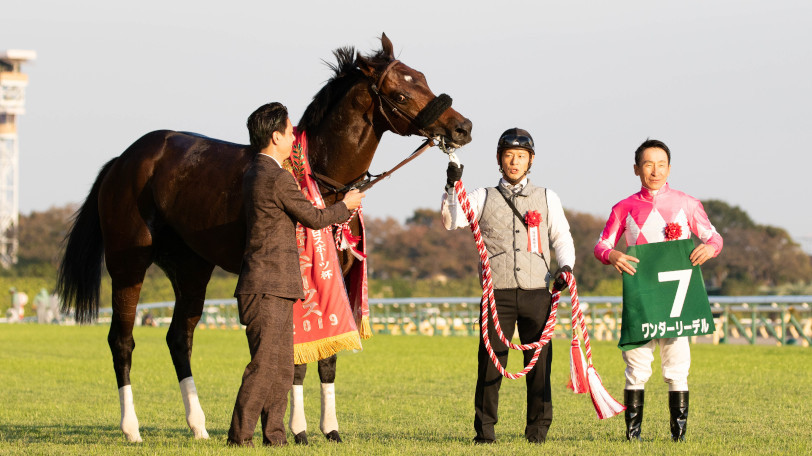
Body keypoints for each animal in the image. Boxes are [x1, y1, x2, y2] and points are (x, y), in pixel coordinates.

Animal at [56, 33, 472, 444]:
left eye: (422, 78)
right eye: (400, 93)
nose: (462, 127)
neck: (320, 176)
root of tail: (125, 159)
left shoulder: (336, 276)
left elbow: (327, 358)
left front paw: (330, 428)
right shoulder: (303, 280)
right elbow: (297, 357)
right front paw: (299, 429)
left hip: (192, 268)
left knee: (179, 338)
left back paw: (198, 425)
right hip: (128, 263)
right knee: (122, 339)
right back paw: (132, 428)